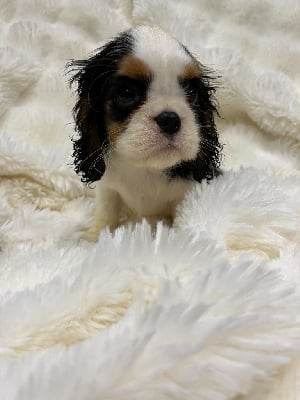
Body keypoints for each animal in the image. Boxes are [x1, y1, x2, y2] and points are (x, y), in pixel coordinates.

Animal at [69, 27, 221, 241]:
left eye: (191, 92)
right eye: (126, 93)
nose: (170, 119)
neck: (148, 168)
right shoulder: (108, 186)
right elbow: (106, 209)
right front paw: (97, 236)